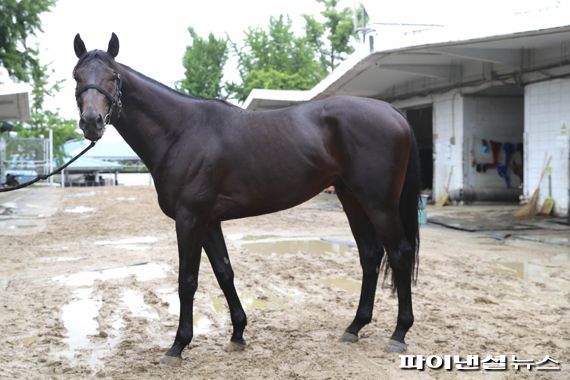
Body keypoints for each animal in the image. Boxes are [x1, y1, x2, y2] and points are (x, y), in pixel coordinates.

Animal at [71, 33, 420, 366]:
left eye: (114, 76)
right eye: (76, 75)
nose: (92, 121)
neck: (181, 132)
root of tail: (392, 111)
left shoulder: (189, 219)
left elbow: (187, 280)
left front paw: (178, 346)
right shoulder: (208, 221)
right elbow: (225, 273)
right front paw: (238, 334)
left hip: (379, 204)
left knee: (399, 254)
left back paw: (399, 333)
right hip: (352, 198)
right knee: (370, 255)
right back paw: (355, 327)